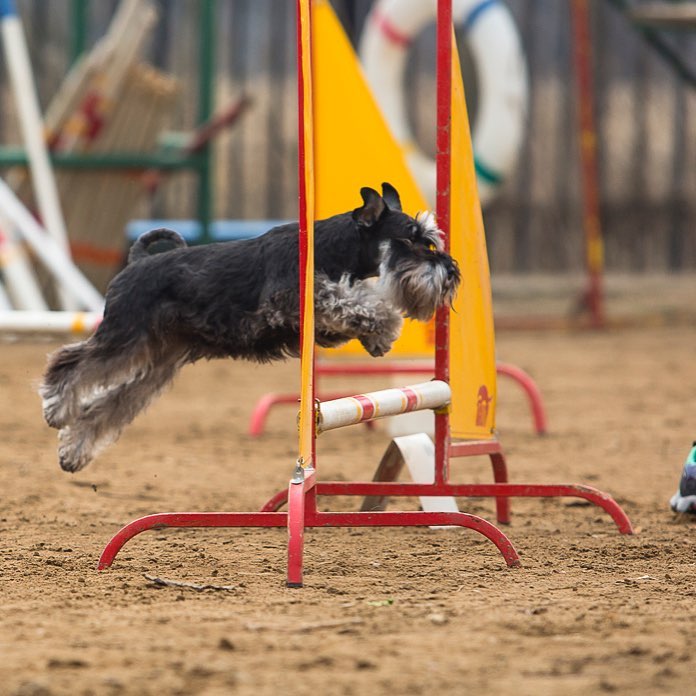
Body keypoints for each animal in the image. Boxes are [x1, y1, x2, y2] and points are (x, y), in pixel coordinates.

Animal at [40, 182, 460, 470]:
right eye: (409, 241)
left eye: (430, 239)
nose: (451, 273)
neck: (332, 247)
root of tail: (137, 261)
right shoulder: (292, 299)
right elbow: (357, 301)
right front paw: (385, 324)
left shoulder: (320, 326)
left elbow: (355, 305)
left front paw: (377, 337)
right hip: (124, 337)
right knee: (72, 363)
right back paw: (56, 408)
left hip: (157, 365)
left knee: (111, 403)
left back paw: (73, 451)